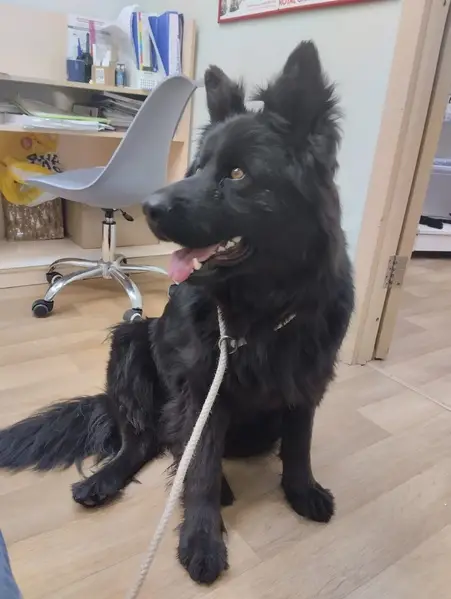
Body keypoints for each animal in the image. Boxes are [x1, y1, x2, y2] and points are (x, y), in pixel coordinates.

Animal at [0, 41, 354, 584]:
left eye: (237, 174)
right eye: (197, 168)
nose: (147, 206)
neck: (262, 310)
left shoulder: (306, 382)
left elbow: (299, 445)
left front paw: (302, 490)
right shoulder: (202, 387)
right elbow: (201, 469)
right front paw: (201, 539)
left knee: (170, 444)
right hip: (130, 343)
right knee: (145, 441)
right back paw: (104, 480)